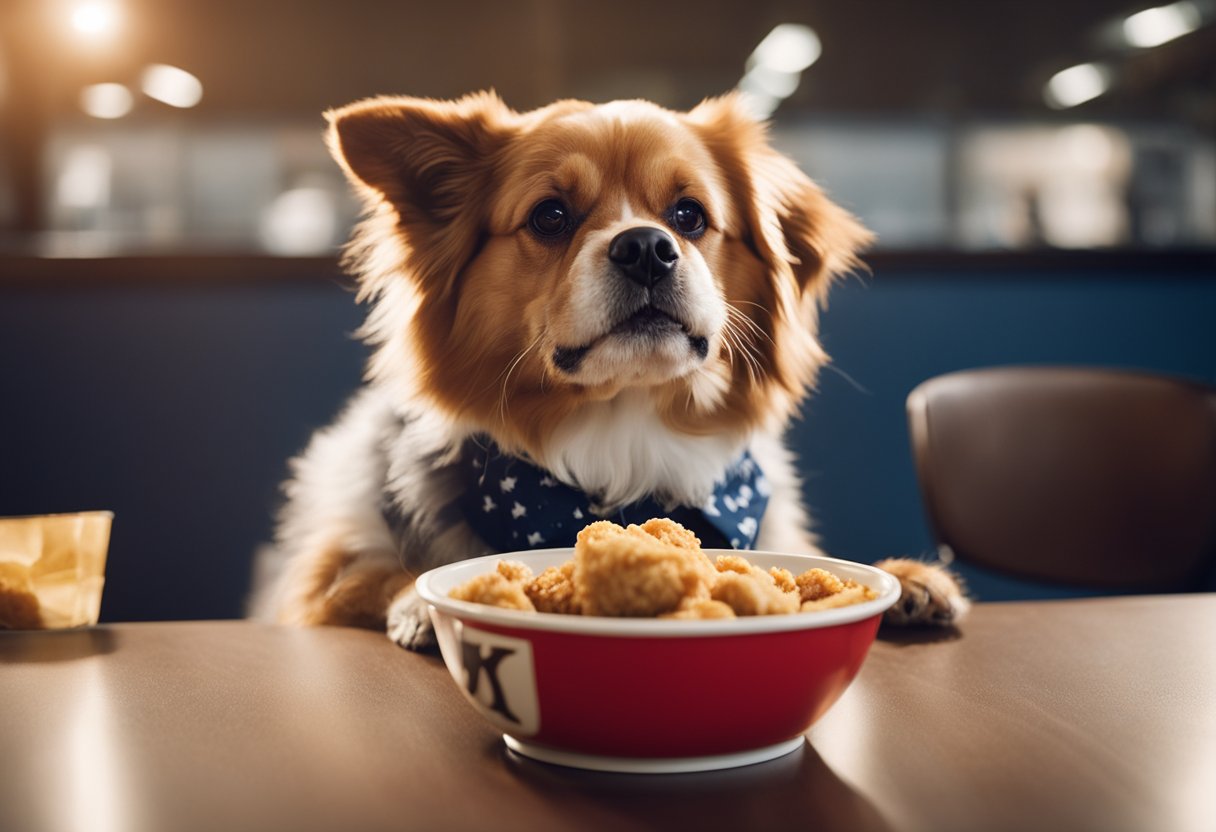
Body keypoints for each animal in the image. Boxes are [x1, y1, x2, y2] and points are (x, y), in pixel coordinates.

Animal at [251, 92, 963, 651]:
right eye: (550, 216)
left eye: (689, 215)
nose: (646, 246)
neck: (624, 431)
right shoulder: (315, 584)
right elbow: (378, 575)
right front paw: (420, 603)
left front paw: (907, 577)